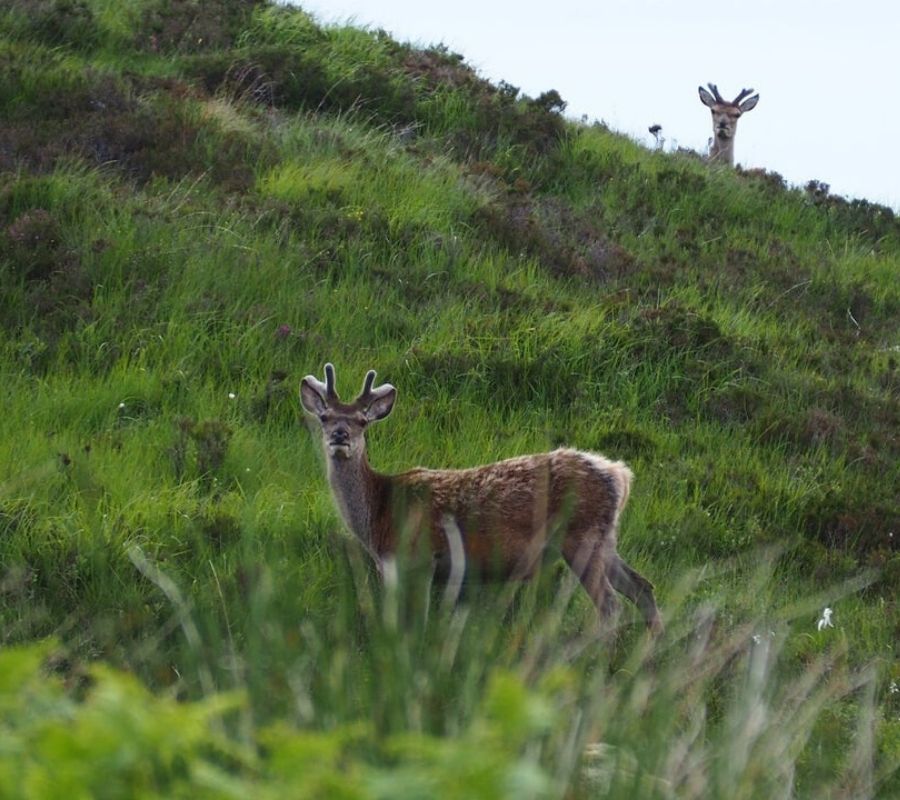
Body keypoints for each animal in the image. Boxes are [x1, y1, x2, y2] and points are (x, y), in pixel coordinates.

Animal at [300, 363, 663, 635]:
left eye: (362, 420)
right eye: (325, 417)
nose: (340, 436)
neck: (378, 511)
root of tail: (618, 475)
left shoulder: (417, 558)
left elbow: (417, 622)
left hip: (580, 536)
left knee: (611, 604)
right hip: (605, 539)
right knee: (644, 588)